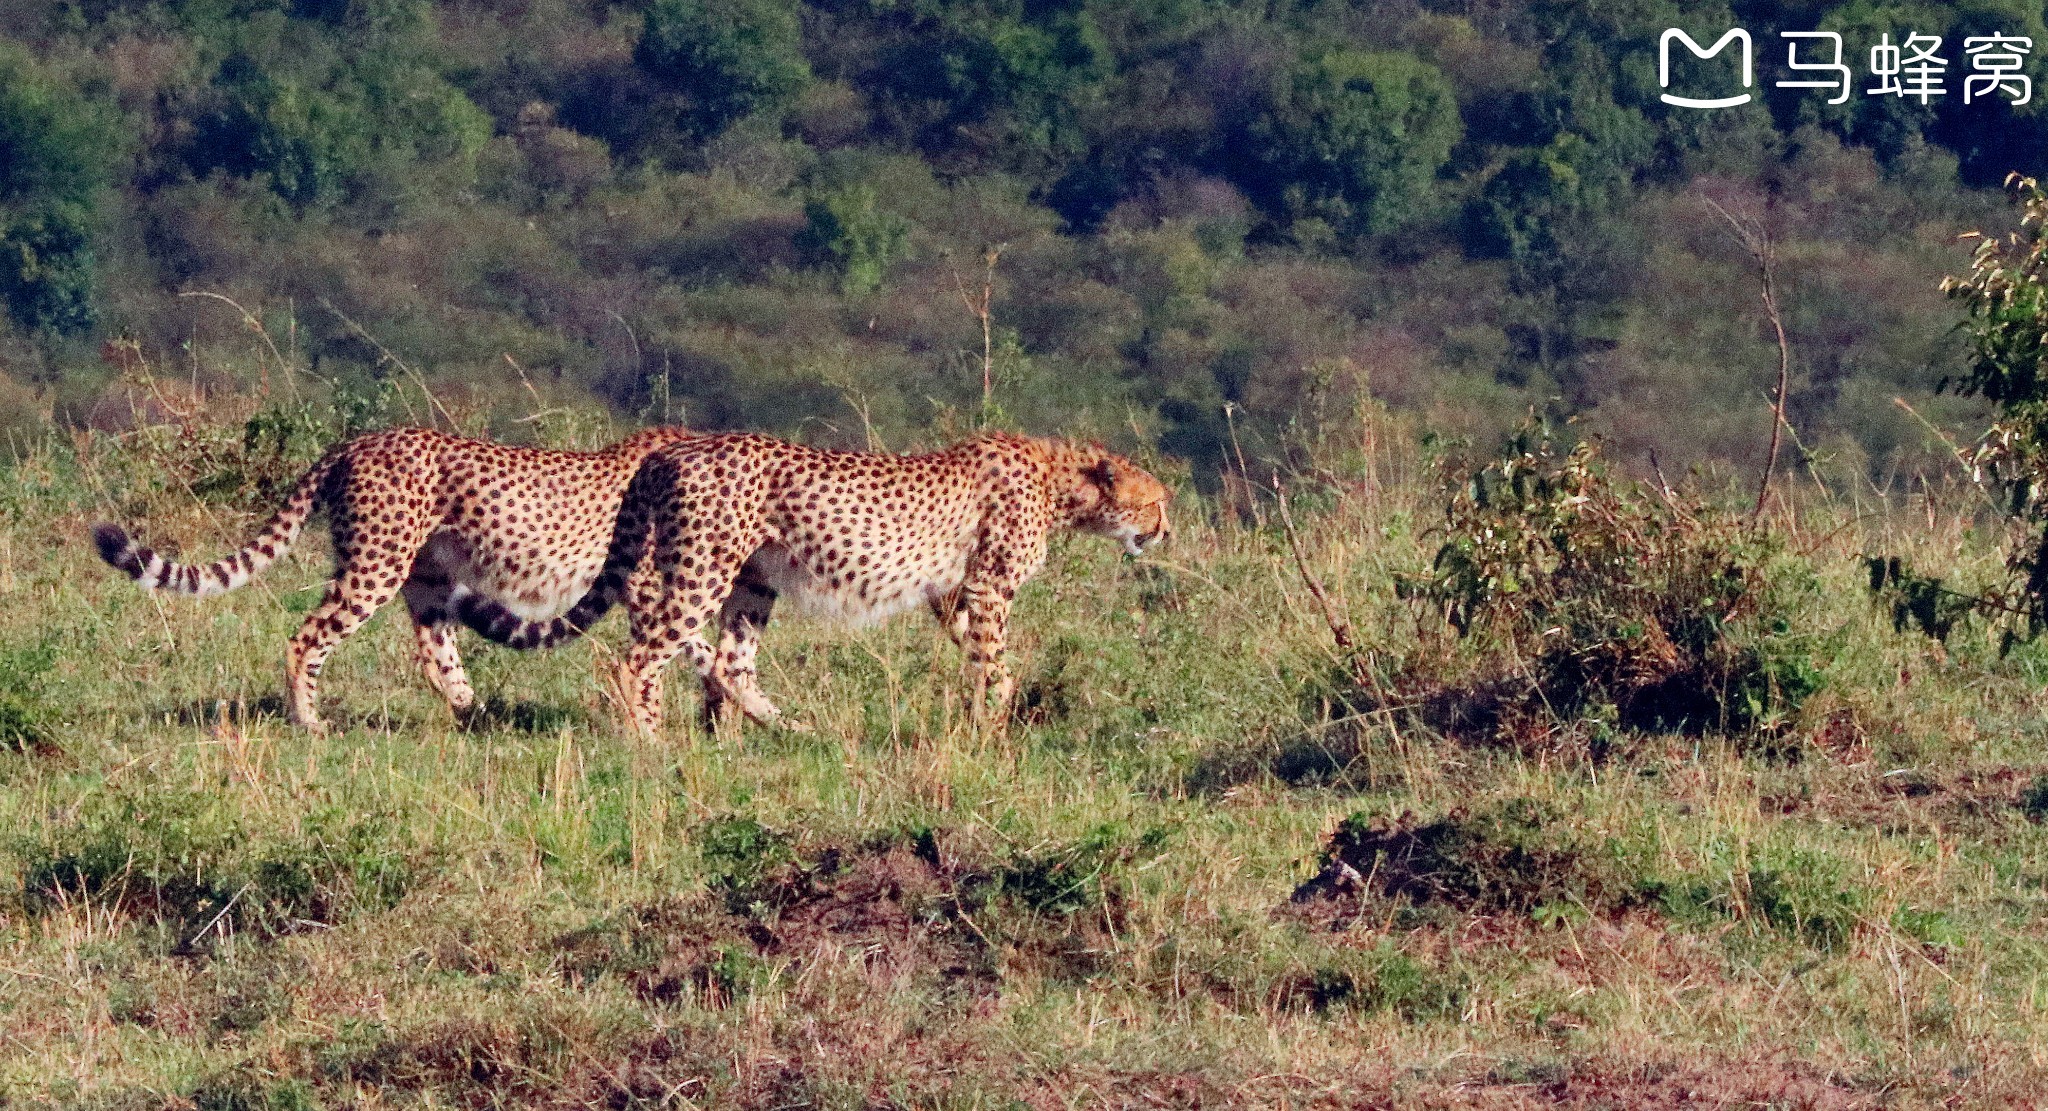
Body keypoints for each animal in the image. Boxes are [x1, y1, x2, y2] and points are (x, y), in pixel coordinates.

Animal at [92, 424, 688, 729]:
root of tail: (357, 440)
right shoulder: (647, 585)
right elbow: (668, 655)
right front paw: (659, 730)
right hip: (375, 566)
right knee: (306, 638)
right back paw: (309, 722)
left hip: (425, 579)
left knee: (437, 656)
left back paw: (478, 721)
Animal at [456, 434, 1179, 742]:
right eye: (1157, 502)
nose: (1168, 531)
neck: (1061, 480)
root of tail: (666, 451)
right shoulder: (990, 586)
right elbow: (996, 662)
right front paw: (994, 722)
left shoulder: (953, 592)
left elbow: (979, 656)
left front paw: (981, 717)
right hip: (704, 569)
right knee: (635, 657)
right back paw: (651, 741)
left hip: (753, 580)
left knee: (728, 662)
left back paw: (784, 729)